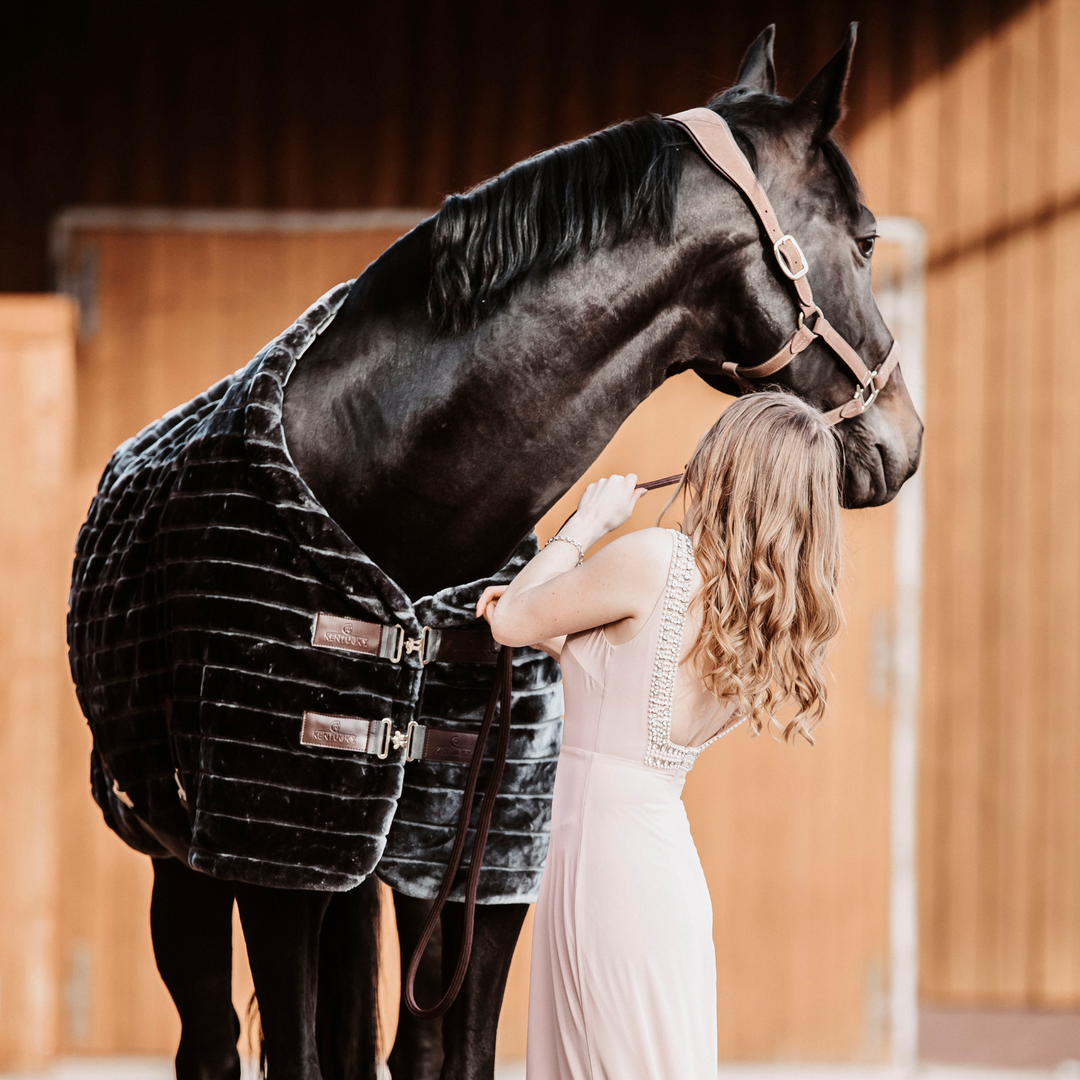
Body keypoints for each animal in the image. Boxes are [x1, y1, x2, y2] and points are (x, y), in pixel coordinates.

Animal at [73, 19, 920, 1080]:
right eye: (866, 238)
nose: (905, 441)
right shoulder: (277, 861)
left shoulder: (481, 865)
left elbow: (447, 1053)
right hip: (183, 861)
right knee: (213, 1043)